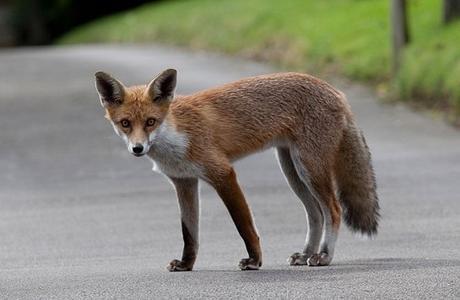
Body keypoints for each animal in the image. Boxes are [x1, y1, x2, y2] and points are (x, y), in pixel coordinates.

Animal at [95, 69, 380, 272]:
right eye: (125, 123)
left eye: (151, 122)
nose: (138, 148)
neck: (176, 136)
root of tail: (336, 91)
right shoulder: (184, 181)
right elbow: (190, 233)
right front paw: (187, 265)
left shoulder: (223, 173)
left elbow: (244, 225)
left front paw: (254, 261)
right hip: (293, 171)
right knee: (315, 214)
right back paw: (307, 254)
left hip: (310, 168)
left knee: (333, 210)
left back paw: (324, 256)